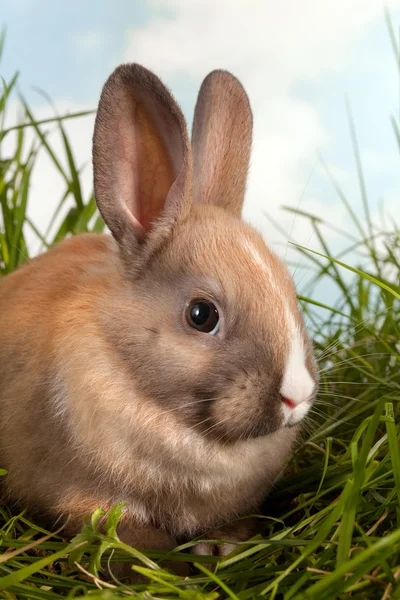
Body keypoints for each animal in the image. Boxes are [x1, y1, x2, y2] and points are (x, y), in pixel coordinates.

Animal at [0, 63, 318, 576]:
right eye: (201, 315)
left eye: (291, 292)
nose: (297, 395)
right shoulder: (86, 499)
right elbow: (129, 539)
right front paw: (175, 567)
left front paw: (221, 549)